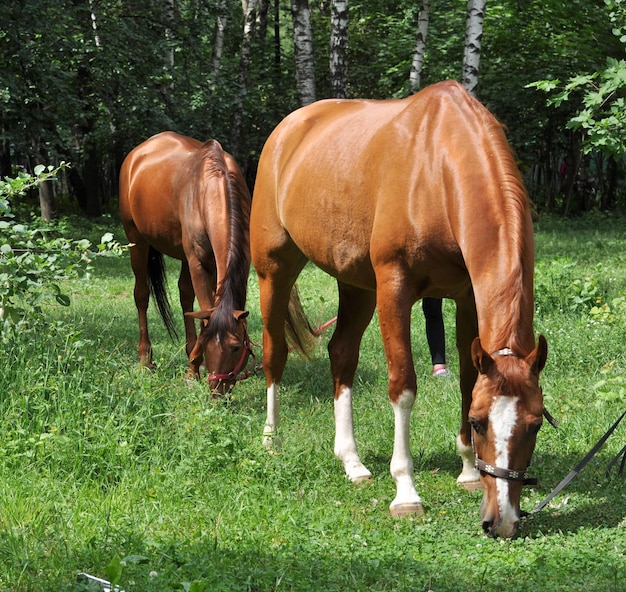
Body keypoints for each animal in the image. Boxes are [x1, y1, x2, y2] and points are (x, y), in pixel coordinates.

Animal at [119, 132, 251, 396]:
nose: (217, 391)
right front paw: (192, 372)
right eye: (208, 343)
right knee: (141, 295)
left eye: (236, 347)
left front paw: (194, 364)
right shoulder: (198, 264)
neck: (213, 186)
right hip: (136, 241)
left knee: (185, 296)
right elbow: (205, 313)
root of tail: (136, 154)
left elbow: (202, 309)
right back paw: (145, 360)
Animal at [249, 81, 544, 540]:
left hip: (356, 285)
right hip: (275, 272)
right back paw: (271, 439)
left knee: (342, 354)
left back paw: (352, 462)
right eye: (480, 422)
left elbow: (466, 377)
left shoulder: (466, 297)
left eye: (535, 425)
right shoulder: (395, 287)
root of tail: (286, 132)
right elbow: (402, 386)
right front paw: (406, 491)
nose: (503, 521)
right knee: (274, 353)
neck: (437, 168)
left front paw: (466, 471)